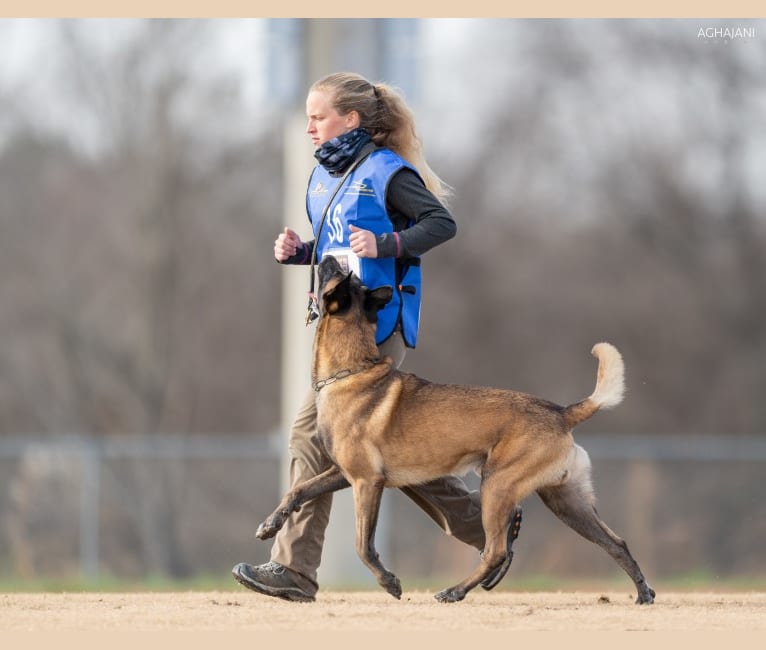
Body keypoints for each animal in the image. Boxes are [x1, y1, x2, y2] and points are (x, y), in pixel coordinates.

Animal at [256, 254, 656, 604]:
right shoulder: (342, 473)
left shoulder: (366, 482)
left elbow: (362, 545)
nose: (324, 257)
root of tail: (561, 413)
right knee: (616, 543)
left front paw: (390, 583)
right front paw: (270, 525)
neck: (351, 370)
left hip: (498, 487)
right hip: (567, 501)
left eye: (336, 275)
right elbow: (298, 491)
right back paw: (643, 593)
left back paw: (455, 591)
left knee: (496, 550)